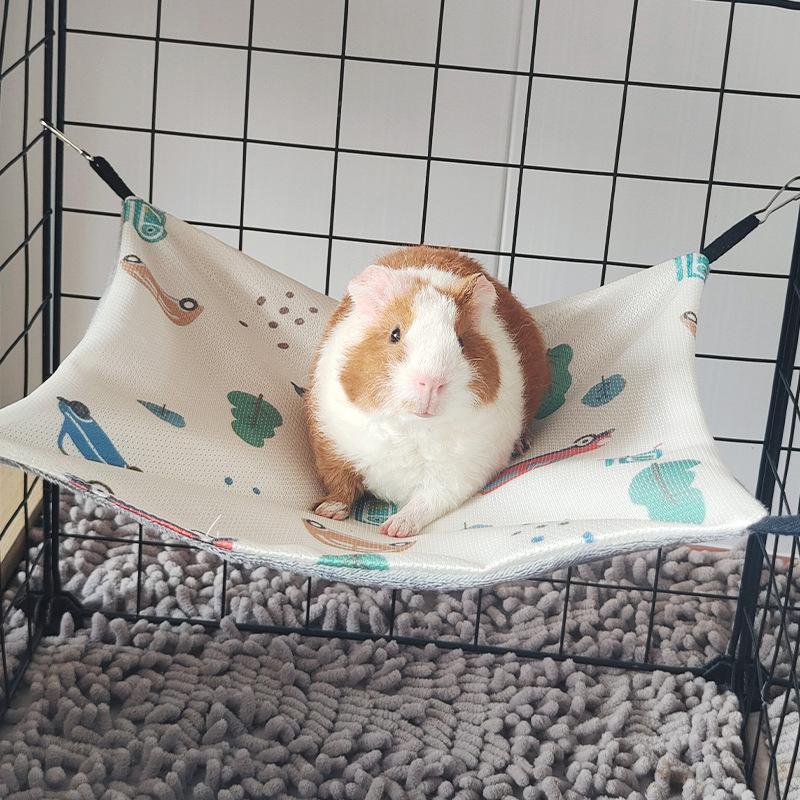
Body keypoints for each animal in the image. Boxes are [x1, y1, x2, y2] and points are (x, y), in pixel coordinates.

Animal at [304, 245, 550, 538]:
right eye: (394, 334)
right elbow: (340, 486)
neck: (412, 428)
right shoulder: (332, 448)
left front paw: (394, 529)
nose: (432, 383)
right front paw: (326, 512)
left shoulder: (457, 477)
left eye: (461, 341)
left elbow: (425, 503)